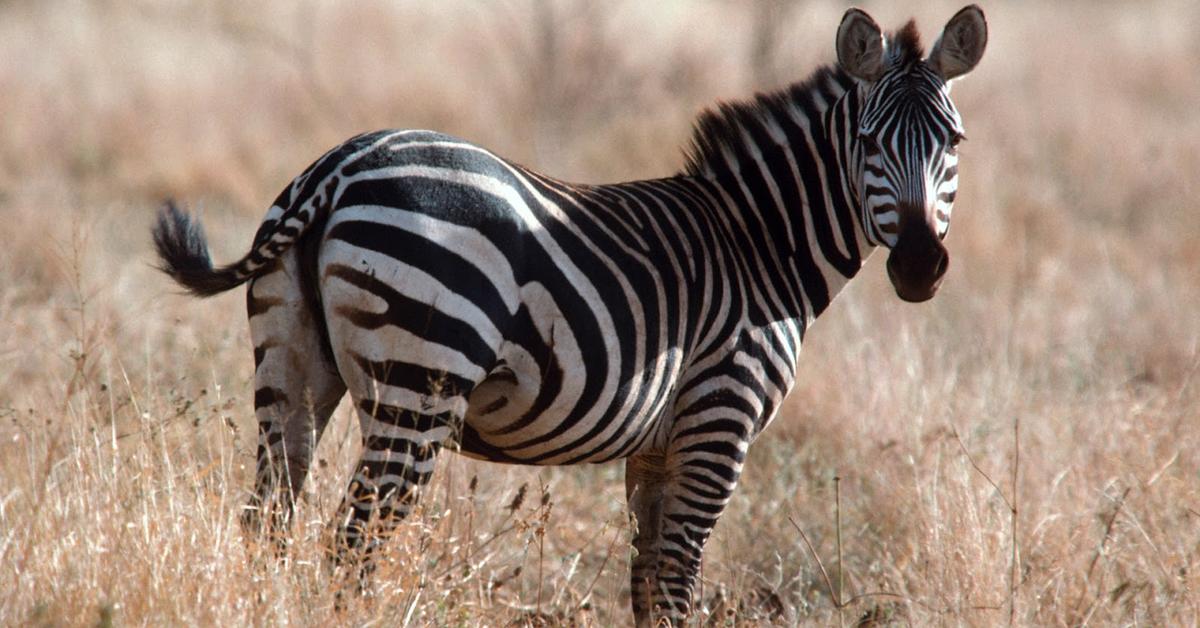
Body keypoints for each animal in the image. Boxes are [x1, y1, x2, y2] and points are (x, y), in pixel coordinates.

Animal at [152, 6, 984, 628]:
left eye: (954, 143)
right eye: (868, 143)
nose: (919, 267)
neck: (759, 243)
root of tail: (339, 167)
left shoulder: (657, 445)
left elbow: (648, 579)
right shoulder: (721, 420)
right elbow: (679, 576)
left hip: (290, 364)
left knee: (268, 520)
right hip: (420, 382)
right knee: (353, 540)